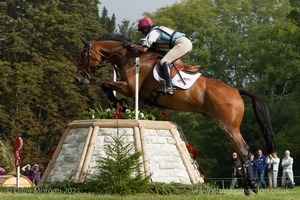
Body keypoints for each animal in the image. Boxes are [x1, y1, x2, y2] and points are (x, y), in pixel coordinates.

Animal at [74, 33, 274, 195]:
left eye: (83, 55)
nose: (78, 79)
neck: (129, 57)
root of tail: (236, 90)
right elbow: (107, 86)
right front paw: (120, 106)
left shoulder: (131, 88)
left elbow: (106, 85)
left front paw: (120, 105)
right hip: (228, 126)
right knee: (240, 153)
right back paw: (249, 187)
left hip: (228, 125)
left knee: (244, 151)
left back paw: (252, 187)